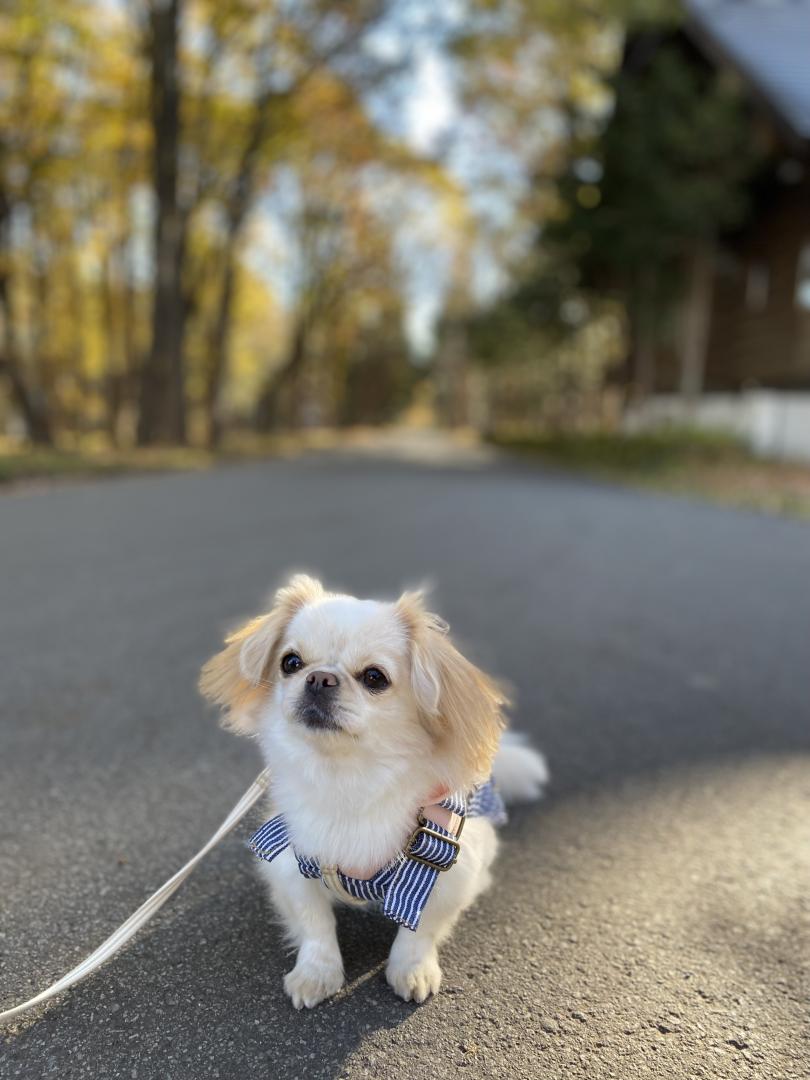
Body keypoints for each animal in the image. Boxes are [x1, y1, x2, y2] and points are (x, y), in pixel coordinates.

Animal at [199, 578, 548, 1006]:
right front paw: (317, 974)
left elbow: (420, 931)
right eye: (291, 663)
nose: (320, 678)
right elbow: (315, 925)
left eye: (374, 677)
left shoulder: (446, 867)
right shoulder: (289, 859)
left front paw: (411, 971)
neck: (348, 777)